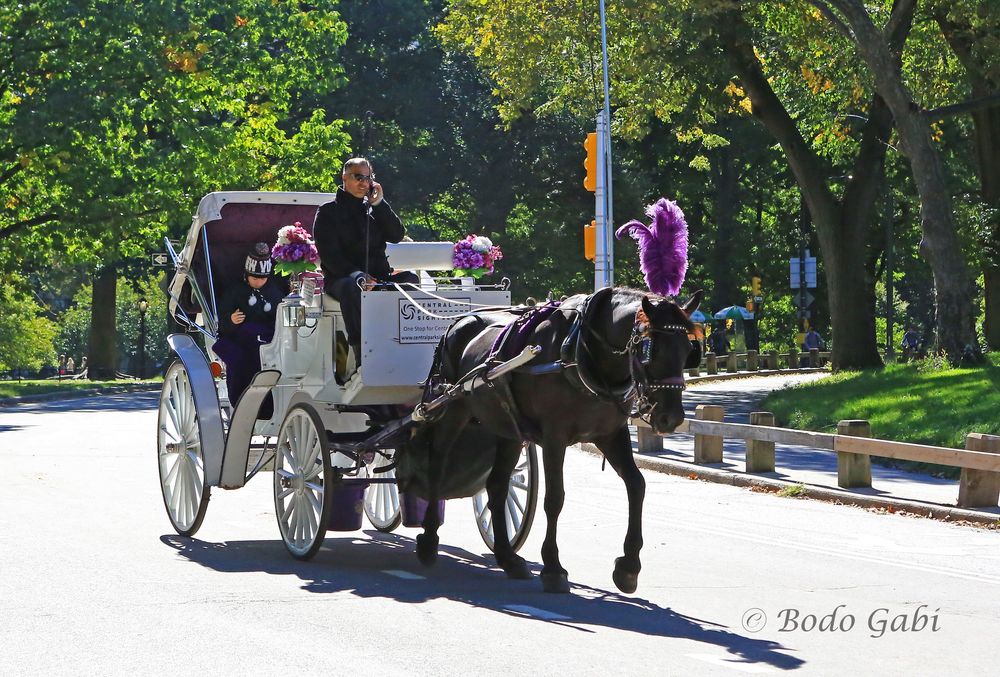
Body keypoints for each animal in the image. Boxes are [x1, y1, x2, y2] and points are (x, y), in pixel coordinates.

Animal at [394, 286, 708, 592]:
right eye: (649, 350)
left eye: (689, 350)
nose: (671, 418)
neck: (582, 352)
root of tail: (458, 323)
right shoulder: (554, 437)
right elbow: (555, 498)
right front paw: (553, 568)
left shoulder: (610, 434)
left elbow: (636, 485)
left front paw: (628, 566)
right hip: (453, 410)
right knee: (438, 463)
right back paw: (429, 540)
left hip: (507, 428)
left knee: (497, 486)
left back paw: (508, 558)